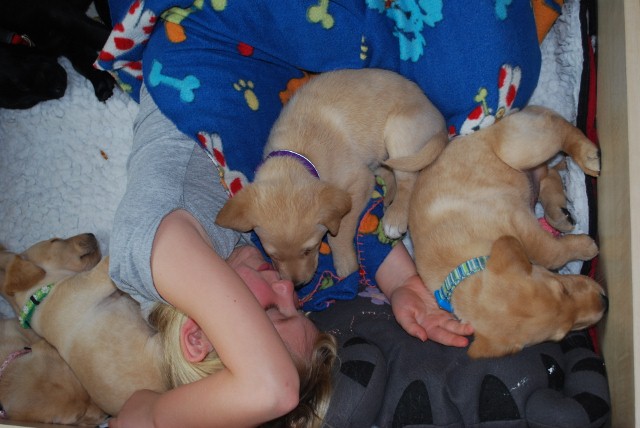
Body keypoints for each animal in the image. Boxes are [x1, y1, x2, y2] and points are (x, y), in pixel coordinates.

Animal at [216, 68, 447, 285]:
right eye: (273, 255)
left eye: (309, 250)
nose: (297, 284)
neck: (295, 158)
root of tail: (441, 124)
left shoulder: (360, 180)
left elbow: (340, 230)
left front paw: (345, 263)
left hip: (399, 132)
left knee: (408, 180)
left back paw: (395, 216)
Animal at [387, 105, 607, 358]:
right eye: (561, 335)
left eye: (562, 289)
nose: (605, 301)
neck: (467, 263)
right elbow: (549, 252)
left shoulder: (516, 215)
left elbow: (547, 252)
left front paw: (586, 246)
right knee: (549, 175)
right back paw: (559, 214)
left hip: (520, 148)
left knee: (558, 125)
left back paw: (587, 155)